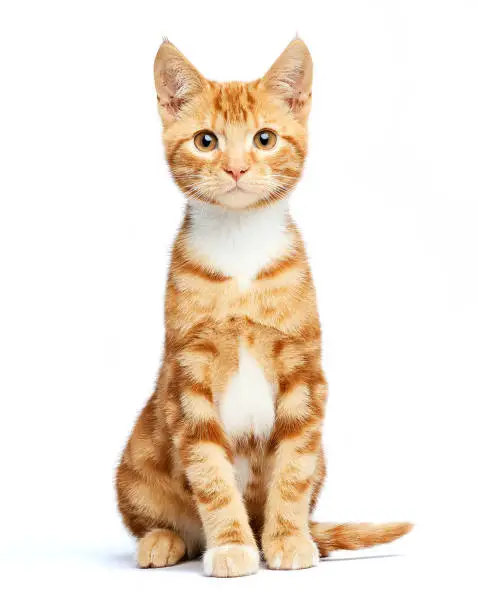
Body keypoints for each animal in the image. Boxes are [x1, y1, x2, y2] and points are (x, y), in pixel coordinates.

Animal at [116, 39, 410, 580]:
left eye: (265, 138)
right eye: (206, 141)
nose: (236, 168)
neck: (240, 250)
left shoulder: (303, 371)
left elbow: (294, 469)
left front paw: (287, 539)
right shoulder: (189, 376)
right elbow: (210, 473)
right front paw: (232, 546)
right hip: (135, 460)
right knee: (162, 520)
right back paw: (165, 540)